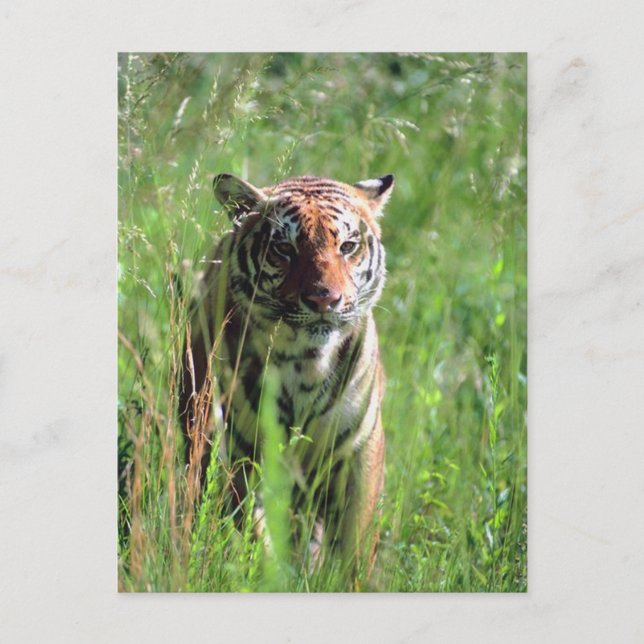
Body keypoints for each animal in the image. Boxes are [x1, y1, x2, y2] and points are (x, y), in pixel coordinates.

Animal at [179, 172, 394, 575]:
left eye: (347, 246)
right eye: (283, 248)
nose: (325, 299)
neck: (307, 361)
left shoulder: (359, 449)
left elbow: (356, 546)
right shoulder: (239, 451)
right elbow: (253, 528)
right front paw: (272, 573)